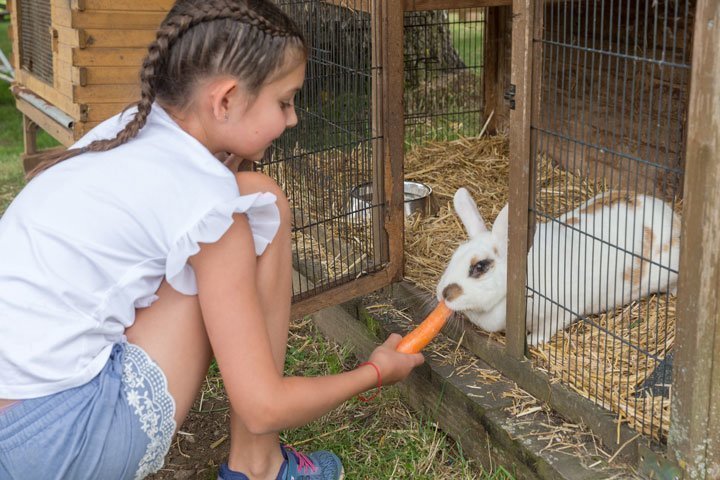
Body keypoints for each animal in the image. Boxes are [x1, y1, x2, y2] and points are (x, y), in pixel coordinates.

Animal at [434, 187, 680, 344]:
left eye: (480, 266)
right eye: (455, 255)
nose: (442, 294)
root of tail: (672, 215)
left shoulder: (565, 310)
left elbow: (547, 329)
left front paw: (532, 341)